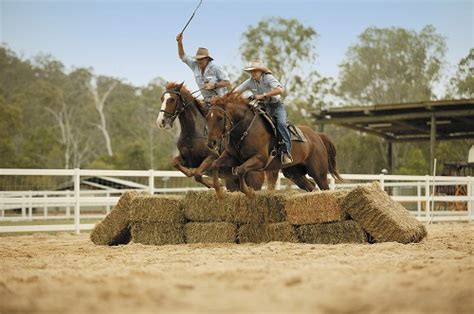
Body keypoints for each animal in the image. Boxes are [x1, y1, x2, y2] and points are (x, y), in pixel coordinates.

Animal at [206, 92, 340, 197]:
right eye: (207, 117)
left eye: (219, 118)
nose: (211, 143)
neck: (245, 129)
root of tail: (317, 136)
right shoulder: (232, 157)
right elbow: (215, 164)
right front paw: (219, 191)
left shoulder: (260, 159)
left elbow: (240, 170)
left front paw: (249, 192)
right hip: (293, 173)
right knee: (310, 186)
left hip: (318, 173)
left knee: (324, 187)